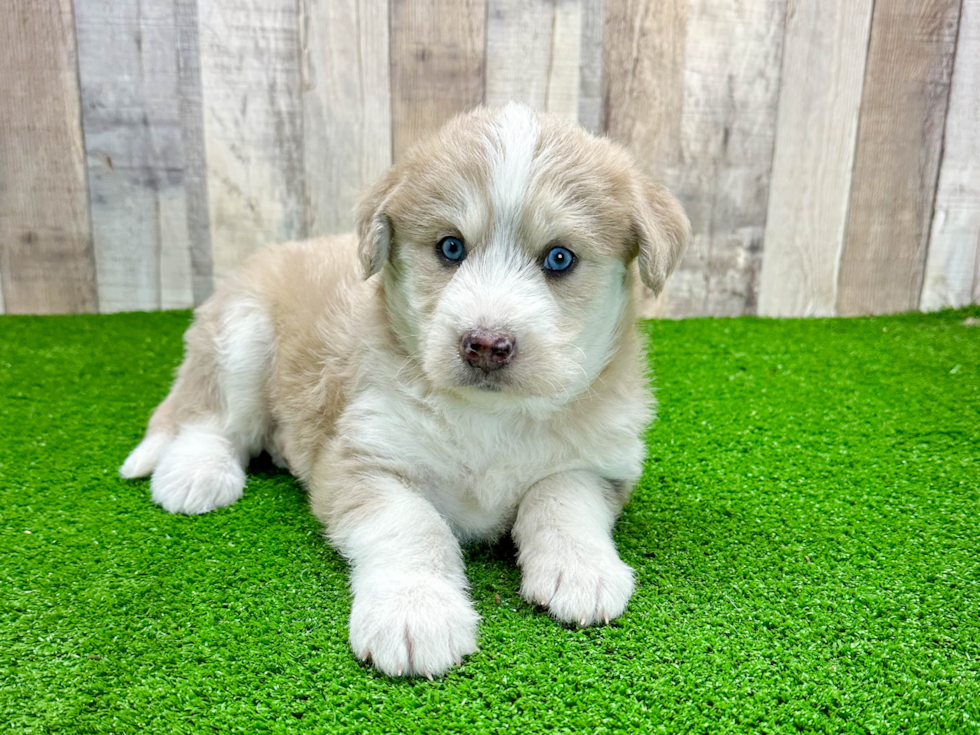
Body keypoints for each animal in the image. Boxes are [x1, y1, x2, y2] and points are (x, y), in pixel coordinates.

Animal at [120, 102, 688, 680]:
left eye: (559, 258)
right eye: (451, 247)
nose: (486, 345)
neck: (491, 417)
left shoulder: (599, 462)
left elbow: (560, 497)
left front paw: (581, 569)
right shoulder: (363, 458)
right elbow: (415, 525)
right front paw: (415, 611)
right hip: (241, 336)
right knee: (209, 417)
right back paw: (196, 474)